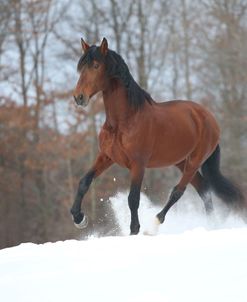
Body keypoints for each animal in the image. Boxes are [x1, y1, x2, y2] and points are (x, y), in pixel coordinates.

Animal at [70, 37, 244, 235]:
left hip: (194, 161)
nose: (79, 97)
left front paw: (134, 230)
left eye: (96, 65)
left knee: (178, 191)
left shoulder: (138, 164)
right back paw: (212, 225)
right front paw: (79, 218)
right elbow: (84, 181)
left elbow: (133, 198)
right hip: (181, 161)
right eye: (81, 67)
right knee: (204, 190)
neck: (124, 121)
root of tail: (208, 118)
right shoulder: (106, 156)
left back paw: (154, 224)